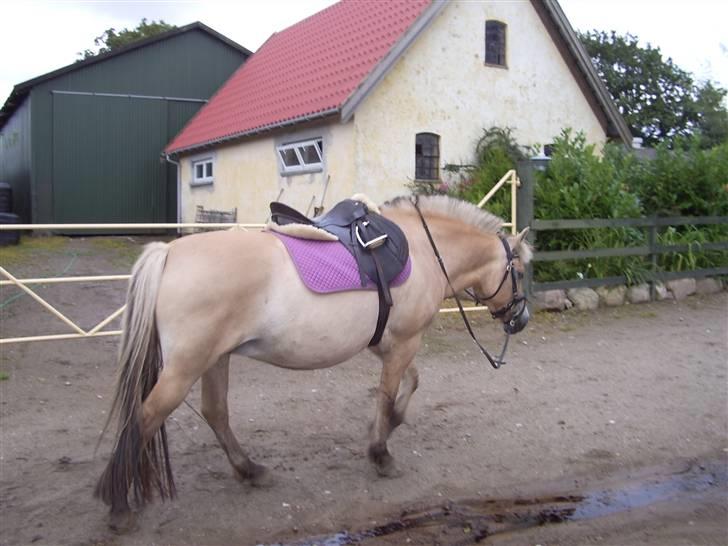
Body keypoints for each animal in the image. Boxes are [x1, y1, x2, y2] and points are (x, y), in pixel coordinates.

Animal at [94, 194, 532, 520]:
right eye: (523, 272)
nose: (522, 319)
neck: (425, 250)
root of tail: (168, 254)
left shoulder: (387, 343)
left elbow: (410, 383)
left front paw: (390, 425)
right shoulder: (404, 342)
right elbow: (388, 393)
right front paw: (381, 454)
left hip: (215, 359)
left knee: (215, 413)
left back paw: (250, 471)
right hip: (186, 367)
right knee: (146, 416)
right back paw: (117, 501)